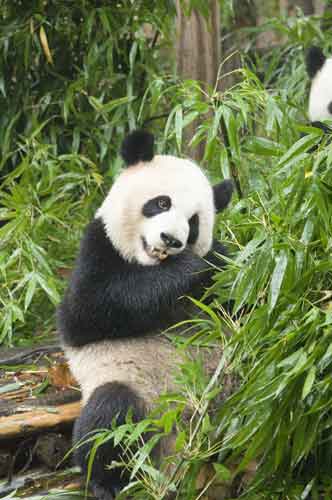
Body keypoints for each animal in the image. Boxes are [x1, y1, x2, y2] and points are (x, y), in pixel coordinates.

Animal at [57, 130, 233, 500]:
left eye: (194, 224)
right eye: (161, 203)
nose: (171, 240)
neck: (150, 265)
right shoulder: (96, 250)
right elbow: (89, 309)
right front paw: (195, 267)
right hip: (136, 398)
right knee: (109, 416)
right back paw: (110, 482)